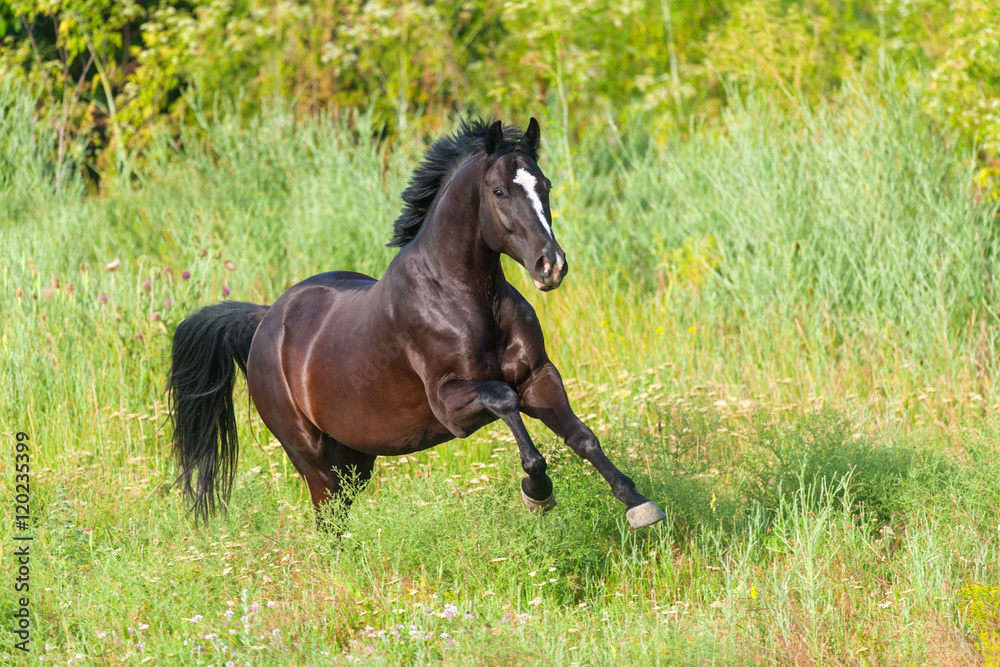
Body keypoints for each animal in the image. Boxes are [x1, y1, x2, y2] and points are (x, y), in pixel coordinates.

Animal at [168, 117, 665, 531]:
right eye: (499, 191)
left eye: (544, 184)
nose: (551, 266)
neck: (467, 296)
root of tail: (266, 320)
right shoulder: (451, 403)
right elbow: (504, 400)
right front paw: (537, 493)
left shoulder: (538, 377)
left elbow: (583, 436)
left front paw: (638, 504)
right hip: (311, 456)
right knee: (327, 519)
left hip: (355, 457)